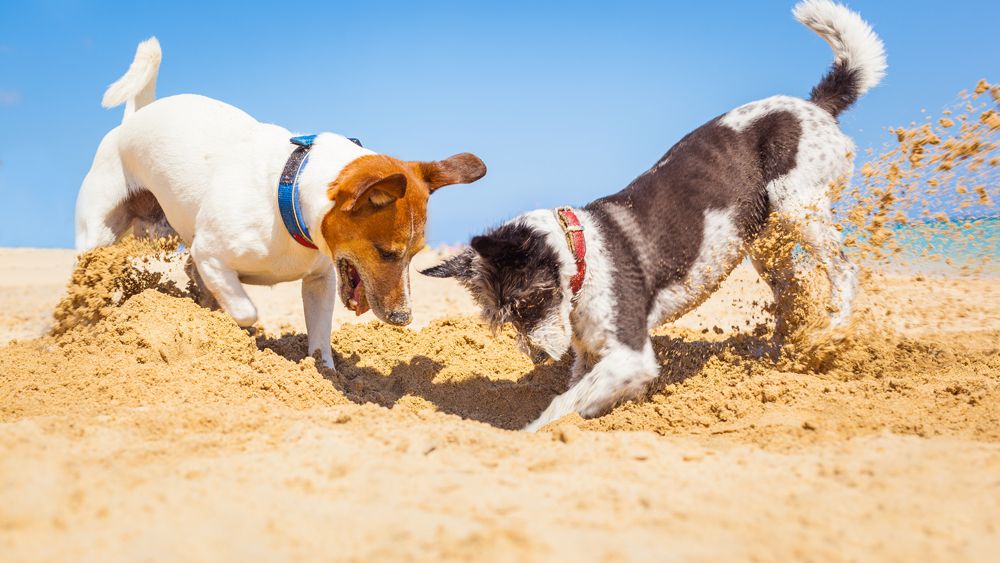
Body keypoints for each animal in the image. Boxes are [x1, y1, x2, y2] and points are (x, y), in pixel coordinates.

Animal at [74, 37, 488, 368]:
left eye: (416, 254)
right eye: (387, 253)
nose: (404, 318)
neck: (288, 195)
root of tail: (135, 118)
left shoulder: (321, 280)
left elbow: (320, 337)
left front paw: (325, 373)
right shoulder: (209, 254)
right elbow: (245, 310)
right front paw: (235, 334)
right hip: (98, 235)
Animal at [420, 1, 884, 432]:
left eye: (527, 302)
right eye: (499, 317)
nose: (534, 355)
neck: (582, 254)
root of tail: (814, 106)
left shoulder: (630, 355)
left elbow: (562, 405)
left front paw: (531, 433)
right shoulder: (591, 354)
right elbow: (579, 390)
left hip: (797, 205)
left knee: (844, 271)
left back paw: (830, 331)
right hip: (766, 241)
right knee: (793, 291)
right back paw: (780, 352)